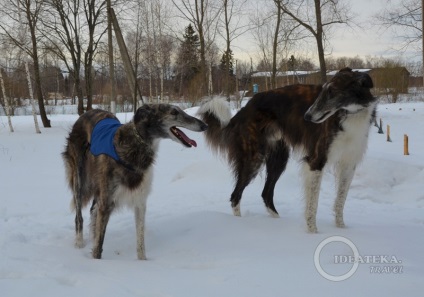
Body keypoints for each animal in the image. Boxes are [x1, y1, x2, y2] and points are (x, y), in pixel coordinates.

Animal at [62, 104, 207, 260]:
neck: (137, 144)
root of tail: (86, 113)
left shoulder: (140, 200)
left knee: (92, 211)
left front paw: (142, 262)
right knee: (79, 215)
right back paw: (79, 242)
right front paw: (96, 261)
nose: (205, 125)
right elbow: (99, 247)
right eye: (174, 112)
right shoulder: (106, 201)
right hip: (80, 178)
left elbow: (140, 239)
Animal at [197, 67, 376, 231]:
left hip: (278, 159)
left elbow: (340, 201)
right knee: (235, 195)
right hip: (254, 159)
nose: (307, 117)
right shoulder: (316, 161)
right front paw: (313, 233)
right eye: (324, 90)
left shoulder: (349, 164)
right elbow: (313, 205)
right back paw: (239, 223)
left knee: (265, 193)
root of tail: (244, 109)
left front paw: (341, 229)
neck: (351, 115)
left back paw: (277, 221)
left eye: (332, 92)